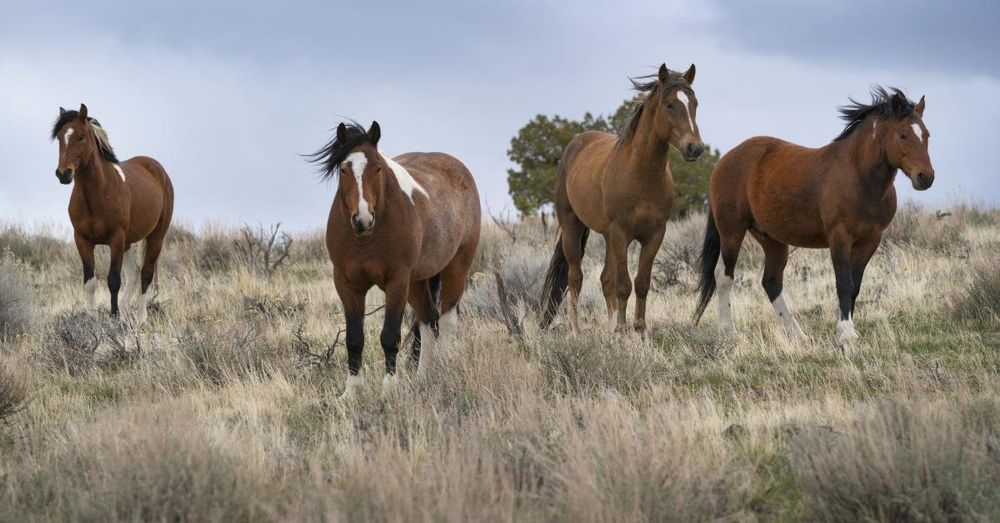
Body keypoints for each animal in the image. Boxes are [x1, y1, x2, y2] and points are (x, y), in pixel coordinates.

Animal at [51, 104, 174, 323]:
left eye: (81, 137)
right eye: (59, 137)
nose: (63, 174)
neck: (97, 195)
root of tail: (157, 169)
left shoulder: (116, 239)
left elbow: (113, 280)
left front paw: (114, 317)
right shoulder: (82, 240)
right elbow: (90, 282)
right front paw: (92, 319)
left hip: (155, 237)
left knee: (146, 274)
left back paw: (140, 318)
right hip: (128, 243)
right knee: (134, 273)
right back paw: (126, 313)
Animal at [309, 121, 481, 398]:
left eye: (378, 167)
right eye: (344, 169)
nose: (363, 219)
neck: (366, 239)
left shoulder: (396, 281)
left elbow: (389, 336)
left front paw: (388, 388)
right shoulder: (346, 284)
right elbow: (354, 339)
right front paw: (351, 392)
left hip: (456, 267)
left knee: (447, 321)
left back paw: (444, 372)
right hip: (417, 283)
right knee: (429, 321)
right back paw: (423, 378)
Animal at [540, 63, 704, 333]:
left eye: (694, 104)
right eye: (670, 104)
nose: (695, 148)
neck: (641, 175)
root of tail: (575, 145)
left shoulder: (654, 235)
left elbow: (641, 282)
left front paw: (638, 331)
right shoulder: (621, 232)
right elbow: (624, 285)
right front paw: (622, 332)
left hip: (608, 236)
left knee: (605, 279)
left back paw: (609, 330)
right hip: (573, 227)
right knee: (575, 277)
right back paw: (575, 329)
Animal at [692, 87, 934, 347]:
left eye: (927, 135)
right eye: (903, 135)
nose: (926, 177)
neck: (859, 179)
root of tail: (724, 160)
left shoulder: (869, 241)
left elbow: (855, 287)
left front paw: (848, 331)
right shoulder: (839, 238)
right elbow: (843, 284)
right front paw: (845, 334)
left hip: (772, 240)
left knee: (771, 282)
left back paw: (796, 334)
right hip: (731, 231)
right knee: (724, 276)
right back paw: (729, 331)